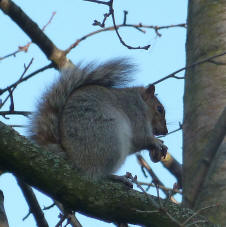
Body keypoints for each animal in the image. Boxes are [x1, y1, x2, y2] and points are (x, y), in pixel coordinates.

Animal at [29, 58, 168, 179]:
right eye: (160, 109)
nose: (165, 132)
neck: (141, 103)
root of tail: (71, 156)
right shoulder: (135, 114)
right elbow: (140, 138)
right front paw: (156, 142)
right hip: (109, 141)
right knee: (97, 172)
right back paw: (116, 177)